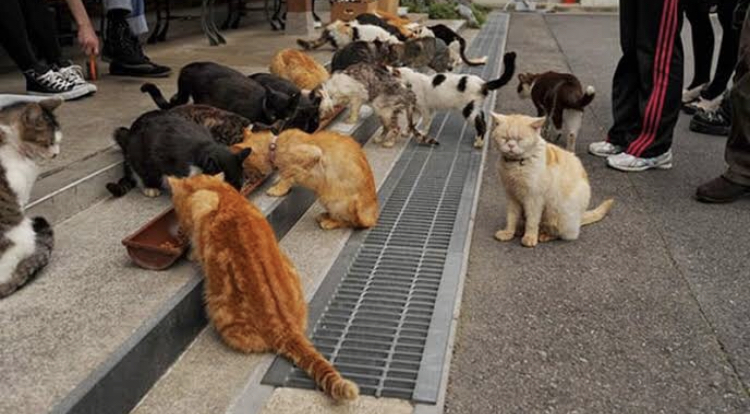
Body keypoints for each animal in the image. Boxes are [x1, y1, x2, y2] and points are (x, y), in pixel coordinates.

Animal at [167, 173, 359, 401]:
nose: (179, 227)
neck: (223, 195)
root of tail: (285, 328)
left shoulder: (202, 207)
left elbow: (196, 247)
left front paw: (190, 252)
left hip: (219, 312)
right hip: (290, 267)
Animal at [232, 128, 378, 229]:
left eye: (244, 166)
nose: (246, 180)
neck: (274, 146)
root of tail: (370, 218)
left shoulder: (314, 153)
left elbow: (289, 173)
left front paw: (278, 189)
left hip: (331, 199)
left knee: (350, 222)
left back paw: (331, 222)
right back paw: (325, 215)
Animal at [490, 113, 613, 247]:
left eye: (519, 139)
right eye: (504, 138)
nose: (511, 146)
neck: (515, 164)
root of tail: (580, 217)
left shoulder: (534, 198)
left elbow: (532, 221)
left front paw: (530, 237)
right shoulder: (512, 195)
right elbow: (511, 217)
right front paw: (508, 232)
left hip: (556, 212)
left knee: (560, 233)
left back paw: (544, 235)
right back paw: (520, 230)